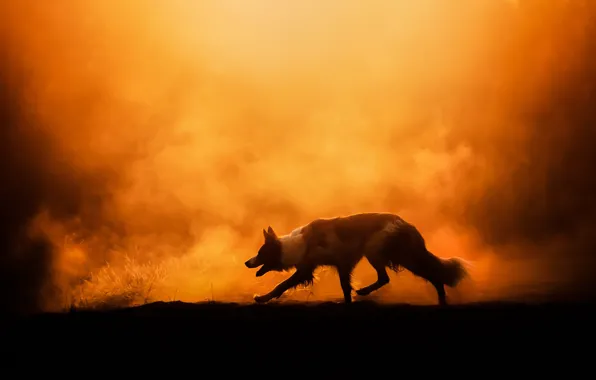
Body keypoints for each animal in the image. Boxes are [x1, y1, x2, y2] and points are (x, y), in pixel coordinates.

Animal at [244, 212, 468, 304]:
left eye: (260, 253)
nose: (247, 262)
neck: (298, 243)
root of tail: (406, 223)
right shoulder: (342, 265)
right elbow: (345, 288)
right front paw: (348, 300)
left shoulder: (308, 269)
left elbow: (280, 285)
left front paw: (262, 298)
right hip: (383, 254)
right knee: (385, 278)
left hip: (385, 252)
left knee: (433, 274)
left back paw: (442, 298)